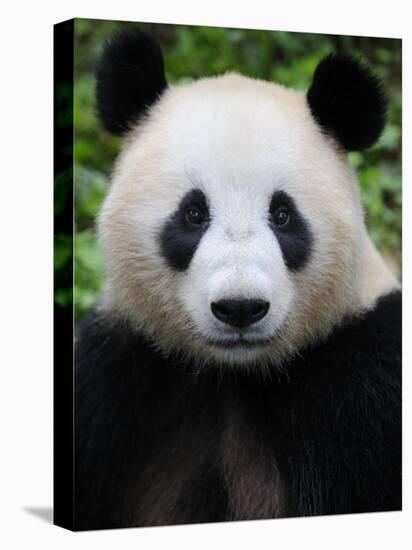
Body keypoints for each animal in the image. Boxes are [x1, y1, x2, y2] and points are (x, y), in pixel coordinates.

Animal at [75, 29, 402, 532]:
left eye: (283, 215)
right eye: (193, 214)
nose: (240, 308)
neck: (234, 374)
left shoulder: (367, 385)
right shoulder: (113, 377)